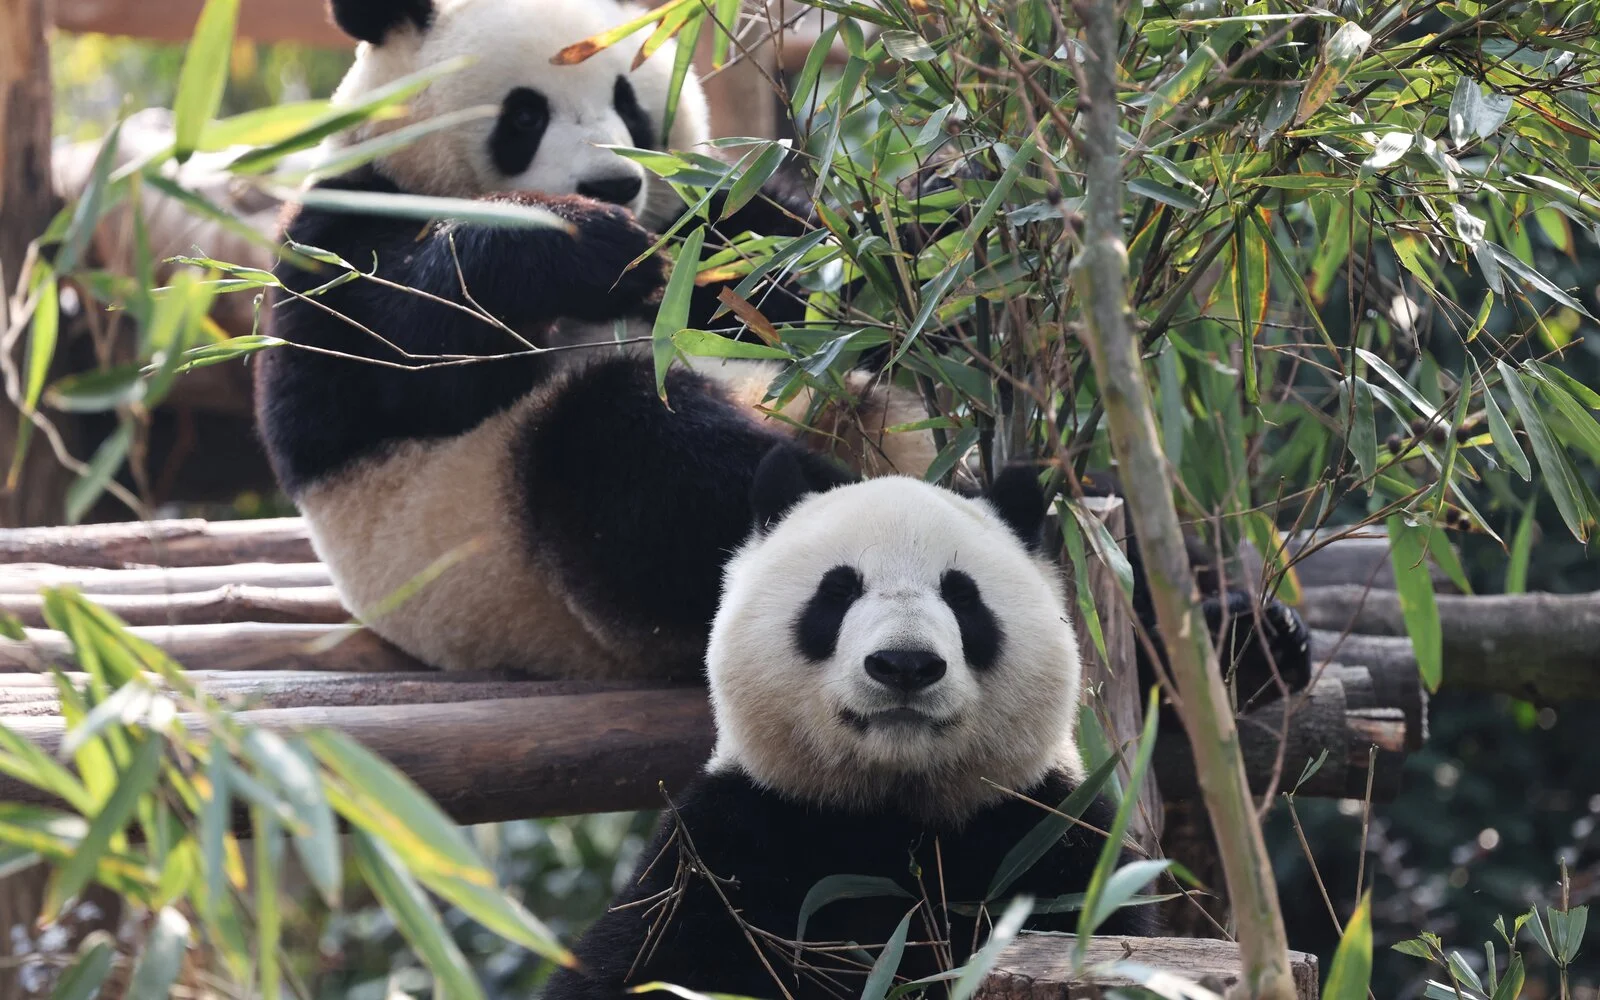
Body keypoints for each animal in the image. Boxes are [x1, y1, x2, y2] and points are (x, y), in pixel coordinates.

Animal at [252, 0, 934, 678]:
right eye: (525, 115)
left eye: (629, 103)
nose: (613, 185)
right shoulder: (340, 231)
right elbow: (397, 358)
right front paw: (582, 241)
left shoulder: (706, 229)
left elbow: (803, 268)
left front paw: (920, 233)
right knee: (636, 447)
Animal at [542, 445, 1158, 1000]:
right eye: (838, 591)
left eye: (963, 597)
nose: (905, 664)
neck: (889, 809)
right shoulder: (731, 846)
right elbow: (642, 962)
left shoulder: (1043, 834)